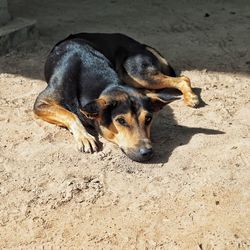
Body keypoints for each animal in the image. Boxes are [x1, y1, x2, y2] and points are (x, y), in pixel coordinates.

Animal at [33, 32, 199, 162]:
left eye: (148, 119)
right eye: (121, 121)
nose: (147, 152)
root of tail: (139, 44)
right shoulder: (40, 103)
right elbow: (71, 114)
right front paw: (85, 137)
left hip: (137, 73)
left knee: (182, 78)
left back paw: (191, 97)